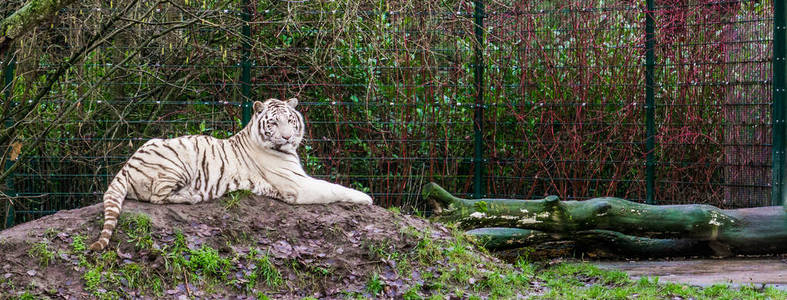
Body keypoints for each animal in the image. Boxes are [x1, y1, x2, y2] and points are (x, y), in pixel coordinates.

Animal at [91, 98, 374, 251]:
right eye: (274, 122)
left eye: (290, 121)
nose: (286, 137)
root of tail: (126, 166)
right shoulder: (298, 185)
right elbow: (333, 187)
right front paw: (366, 198)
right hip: (176, 163)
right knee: (157, 197)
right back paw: (192, 196)